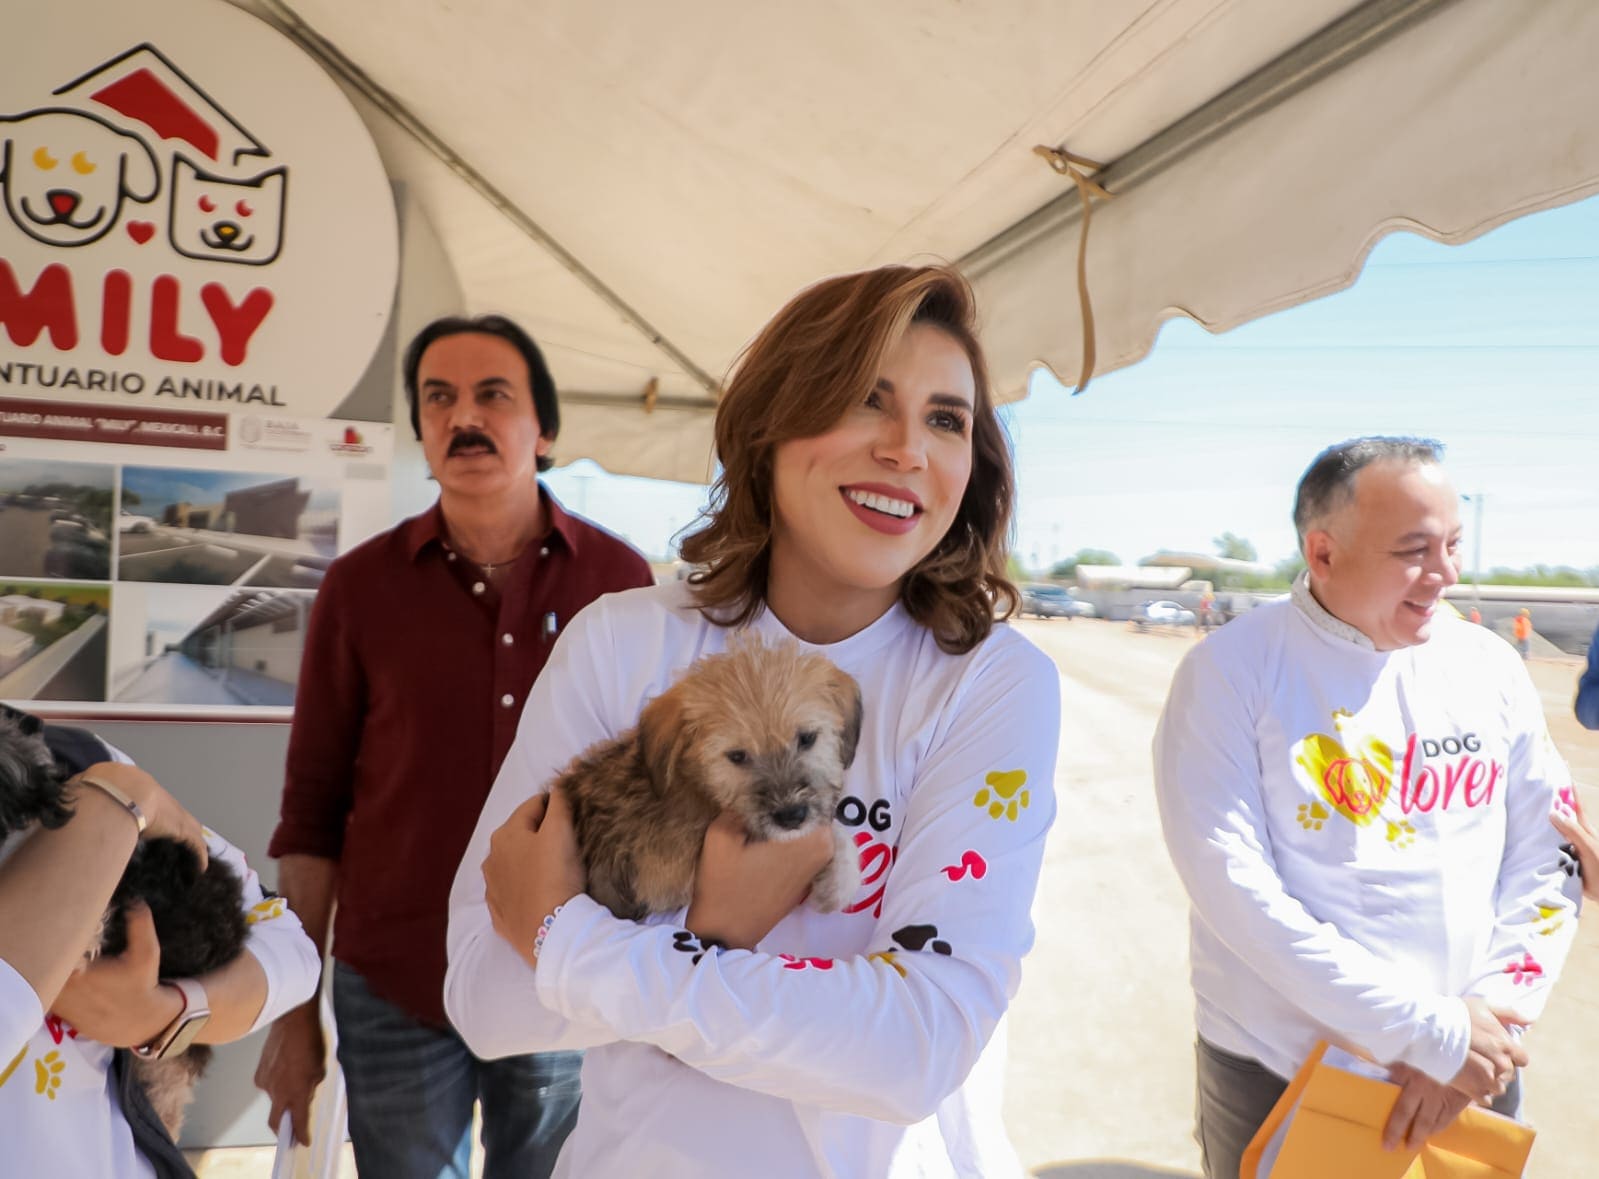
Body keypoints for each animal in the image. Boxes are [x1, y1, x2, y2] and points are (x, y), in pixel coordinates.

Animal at [559, 633, 863, 921]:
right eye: (737, 756)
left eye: (807, 738)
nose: (791, 817)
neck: (698, 787)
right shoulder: (667, 876)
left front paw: (842, 877)